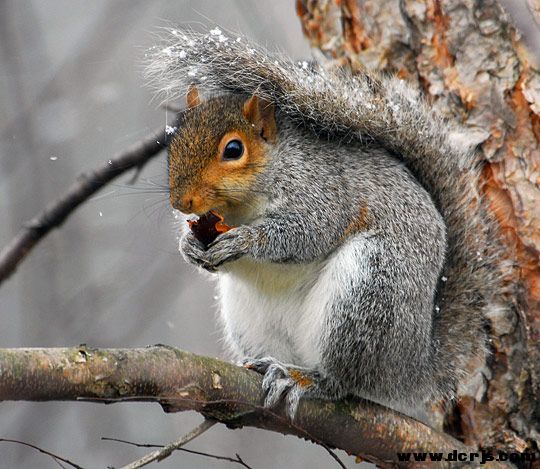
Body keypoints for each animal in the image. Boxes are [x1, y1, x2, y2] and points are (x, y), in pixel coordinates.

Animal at [147, 28, 503, 418]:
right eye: (174, 141)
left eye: (233, 150)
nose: (181, 202)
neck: (242, 206)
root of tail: (410, 370)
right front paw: (188, 246)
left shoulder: (324, 193)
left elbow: (305, 234)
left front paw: (246, 240)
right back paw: (270, 366)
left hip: (369, 291)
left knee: (343, 381)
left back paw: (305, 379)